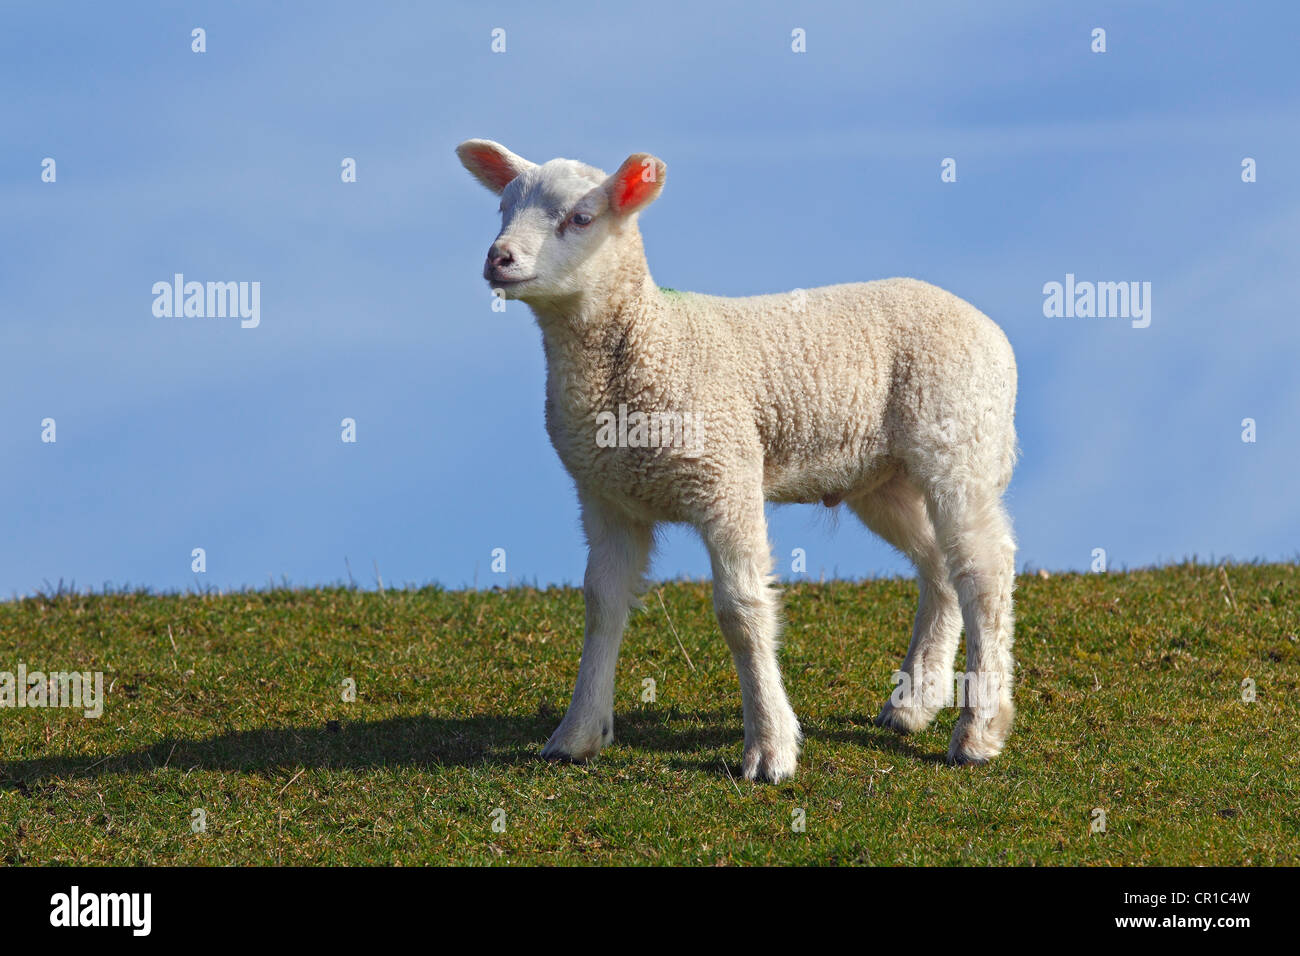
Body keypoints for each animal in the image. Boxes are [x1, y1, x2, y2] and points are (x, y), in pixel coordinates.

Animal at [454, 138, 1013, 780]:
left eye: (581, 218)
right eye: (502, 209)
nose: (499, 258)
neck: (650, 340)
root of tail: (989, 328)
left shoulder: (725, 474)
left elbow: (742, 612)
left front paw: (770, 748)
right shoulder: (606, 495)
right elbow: (602, 604)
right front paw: (577, 734)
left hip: (958, 441)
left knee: (983, 570)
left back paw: (978, 730)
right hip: (882, 477)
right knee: (938, 566)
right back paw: (914, 702)